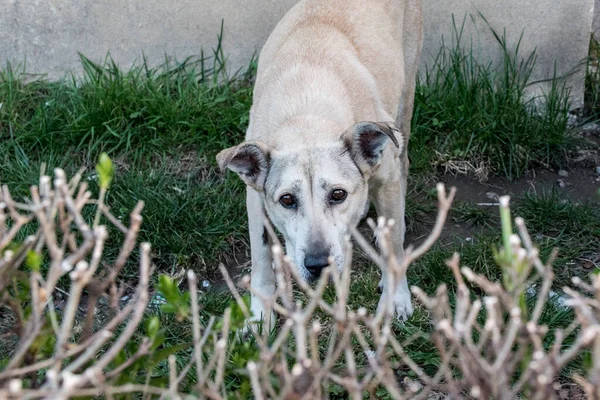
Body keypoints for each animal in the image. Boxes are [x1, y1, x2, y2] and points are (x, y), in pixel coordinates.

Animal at [218, 0, 424, 328]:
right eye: (287, 200)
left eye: (338, 194)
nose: (317, 265)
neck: (306, 117)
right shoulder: (254, 195)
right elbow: (261, 254)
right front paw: (259, 314)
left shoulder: (387, 176)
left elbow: (394, 244)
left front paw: (395, 299)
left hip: (404, 104)